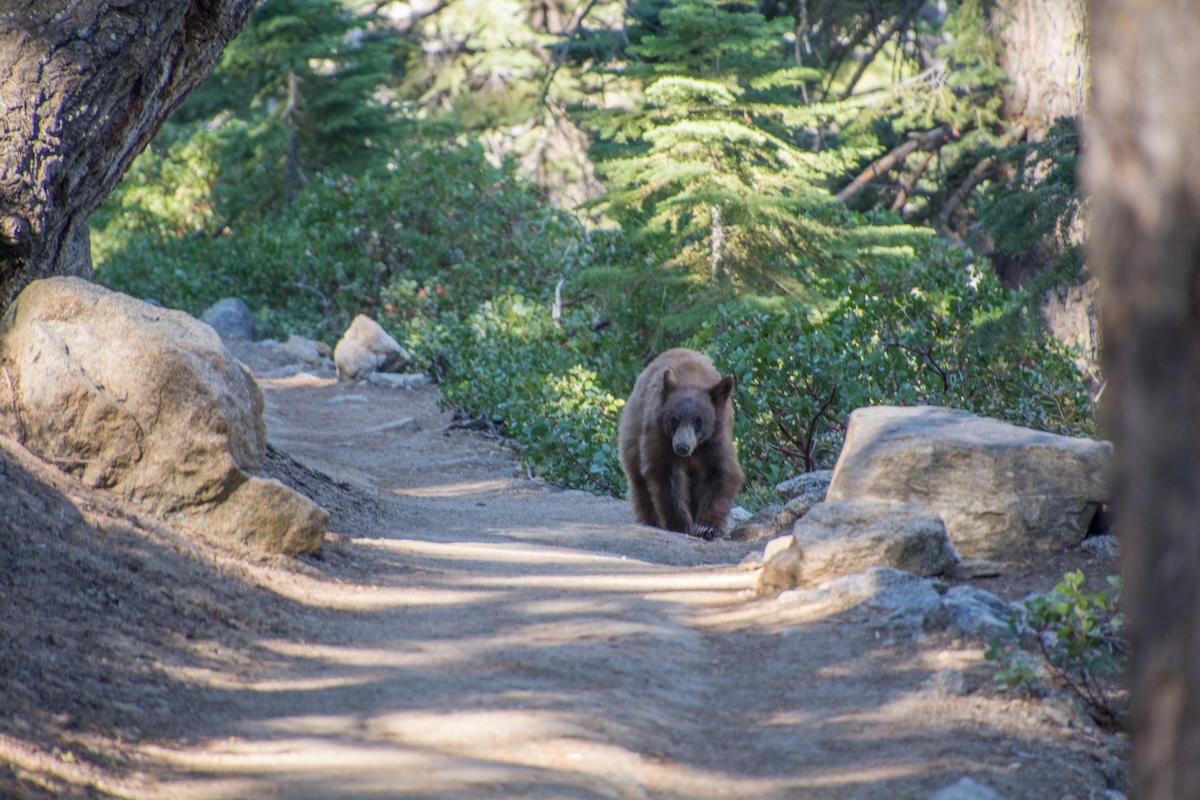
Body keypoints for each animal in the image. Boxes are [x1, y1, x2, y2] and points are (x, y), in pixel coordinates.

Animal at [618, 348, 745, 539]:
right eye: (674, 419)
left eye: (698, 421)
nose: (682, 447)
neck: (692, 379)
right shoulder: (660, 436)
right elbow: (665, 477)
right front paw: (681, 525)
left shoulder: (715, 438)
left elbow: (721, 472)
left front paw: (707, 526)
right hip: (634, 428)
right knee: (639, 480)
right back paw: (651, 521)